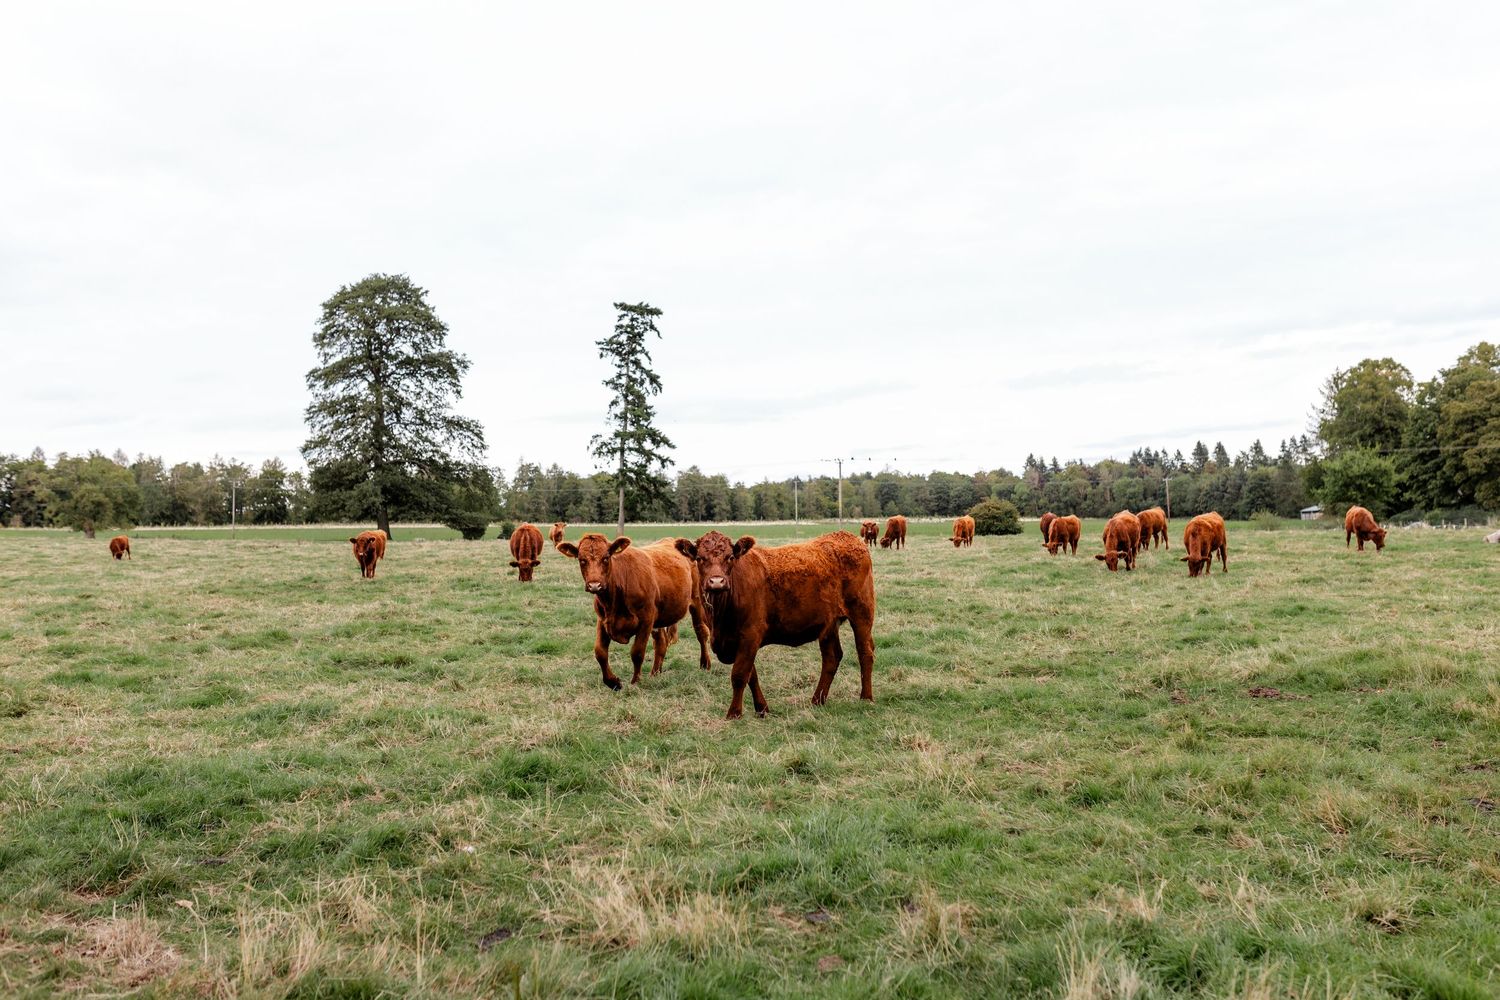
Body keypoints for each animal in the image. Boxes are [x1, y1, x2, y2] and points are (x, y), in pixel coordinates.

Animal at [556, 533, 711, 689]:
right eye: (582, 560)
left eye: (606, 558)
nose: (594, 585)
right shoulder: (602, 620)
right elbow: (600, 652)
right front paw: (613, 682)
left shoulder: (646, 620)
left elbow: (637, 652)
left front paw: (636, 682)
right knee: (661, 642)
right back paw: (655, 673)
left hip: (698, 602)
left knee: (701, 632)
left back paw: (705, 664)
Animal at [675, 530, 876, 719]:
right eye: (700, 558)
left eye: (730, 557)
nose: (716, 582)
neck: (720, 618)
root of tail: (847, 537)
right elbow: (752, 675)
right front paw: (761, 708)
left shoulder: (750, 635)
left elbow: (739, 675)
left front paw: (734, 713)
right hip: (829, 624)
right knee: (831, 658)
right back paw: (817, 700)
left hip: (862, 614)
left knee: (865, 653)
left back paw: (865, 698)